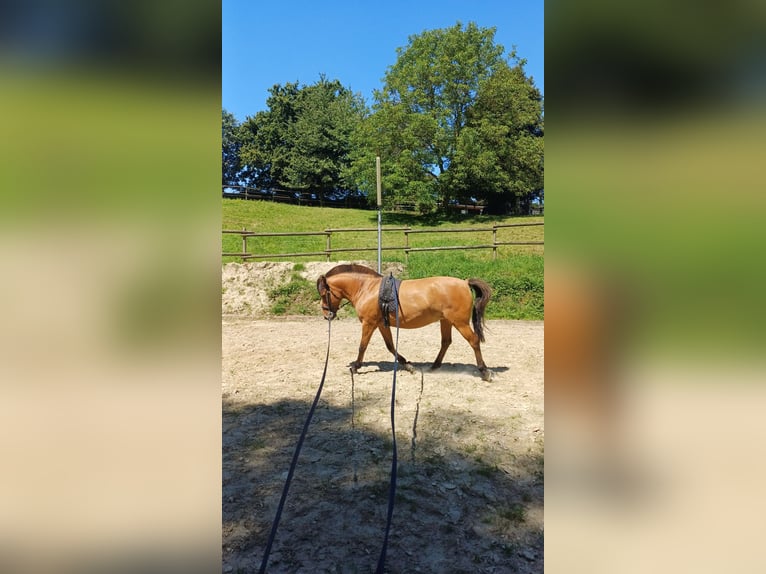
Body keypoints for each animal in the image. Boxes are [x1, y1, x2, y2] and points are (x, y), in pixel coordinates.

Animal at [316, 266, 496, 382]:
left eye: (324, 294)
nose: (327, 315)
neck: (367, 289)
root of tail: (464, 283)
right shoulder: (381, 324)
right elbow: (390, 346)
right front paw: (408, 366)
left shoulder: (369, 323)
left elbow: (362, 346)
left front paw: (355, 367)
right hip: (446, 321)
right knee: (446, 342)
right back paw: (434, 366)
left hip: (460, 322)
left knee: (473, 341)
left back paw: (484, 372)